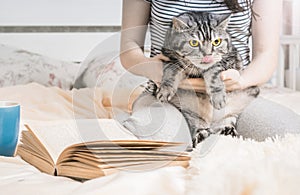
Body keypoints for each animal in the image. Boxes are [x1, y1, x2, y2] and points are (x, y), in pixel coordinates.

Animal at [123, 11, 258, 148]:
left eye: (217, 42)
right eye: (194, 43)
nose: (208, 55)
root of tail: (210, 121)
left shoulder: (229, 59)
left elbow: (213, 71)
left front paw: (218, 96)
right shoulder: (169, 58)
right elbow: (171, 70)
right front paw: (165, 90)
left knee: (227, 122)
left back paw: (228, 131)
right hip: (190, 114)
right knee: (202, 129)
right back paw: (201, 136)